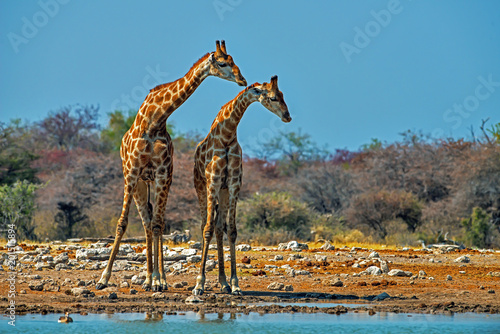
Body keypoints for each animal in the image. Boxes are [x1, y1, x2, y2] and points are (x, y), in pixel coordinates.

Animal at [95, 41, 246, 292]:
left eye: (234, 61)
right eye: (223, 63)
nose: (243, 80)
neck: (154, 120)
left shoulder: (163, 173)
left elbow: (158, 225)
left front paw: (159, 280)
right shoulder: (132, 172)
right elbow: (121, 223)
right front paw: (103, 278)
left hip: (156, 181)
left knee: (154, 223)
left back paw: (156, 279)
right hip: (139, 184)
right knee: (146, 223)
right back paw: (147, 278)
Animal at [192, 75, 292, 294]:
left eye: (283, 95)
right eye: (273, 97)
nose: (288, 116)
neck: (227, 136)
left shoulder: (233, 184)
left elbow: (232, 230)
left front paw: (235, 284)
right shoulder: (213, 182)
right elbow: (207, 229)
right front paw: (199, 284)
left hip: (222, 192)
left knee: (219, 227)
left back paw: (223, 283)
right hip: (201, 186)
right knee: (205, 225)